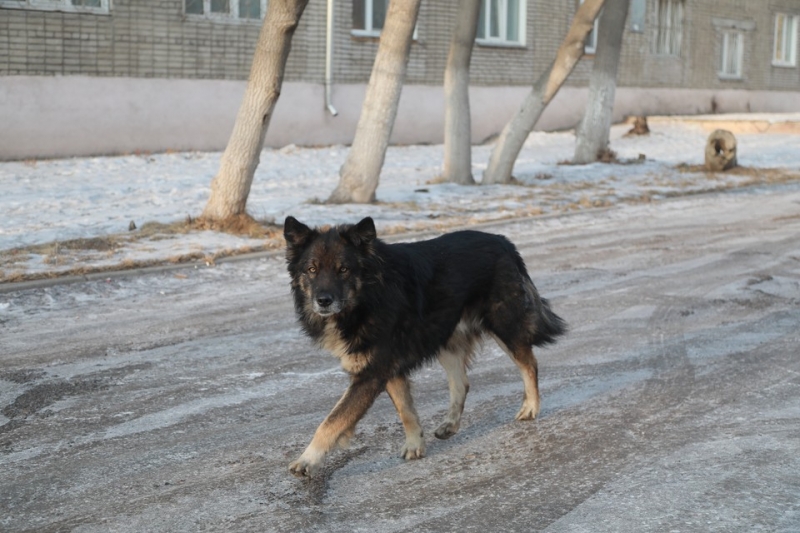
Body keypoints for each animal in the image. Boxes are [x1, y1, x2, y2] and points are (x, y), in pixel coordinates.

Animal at [284, 217, 564, 478]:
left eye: (343, 269)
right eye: (311, 269)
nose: (323, 301)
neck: (369, 296)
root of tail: (504, 242)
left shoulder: (371, 373)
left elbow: (333, 420)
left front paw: (307, 460)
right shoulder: (388, 368)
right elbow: (405, 409)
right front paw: (415, 443)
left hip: (502, 324)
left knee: (529, 363)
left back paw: (530, 407)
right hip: (445, 336)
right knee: (461, 383)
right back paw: (450, 424)